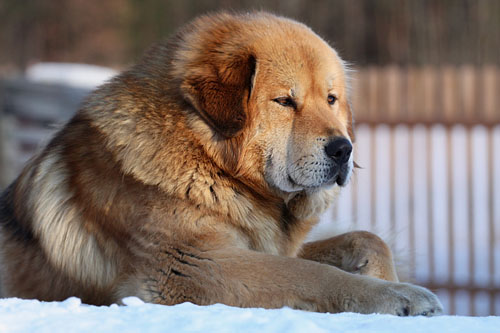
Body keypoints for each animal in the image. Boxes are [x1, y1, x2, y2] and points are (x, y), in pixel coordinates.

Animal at [0, 12, 442, 314]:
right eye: (285, 101)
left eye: (331, 99)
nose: (343, 149)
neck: (206, 159)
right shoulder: (192, 267)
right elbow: (313, 275)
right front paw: (401, 296)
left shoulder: (254, 246)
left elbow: (367, 238)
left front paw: (387, 278)